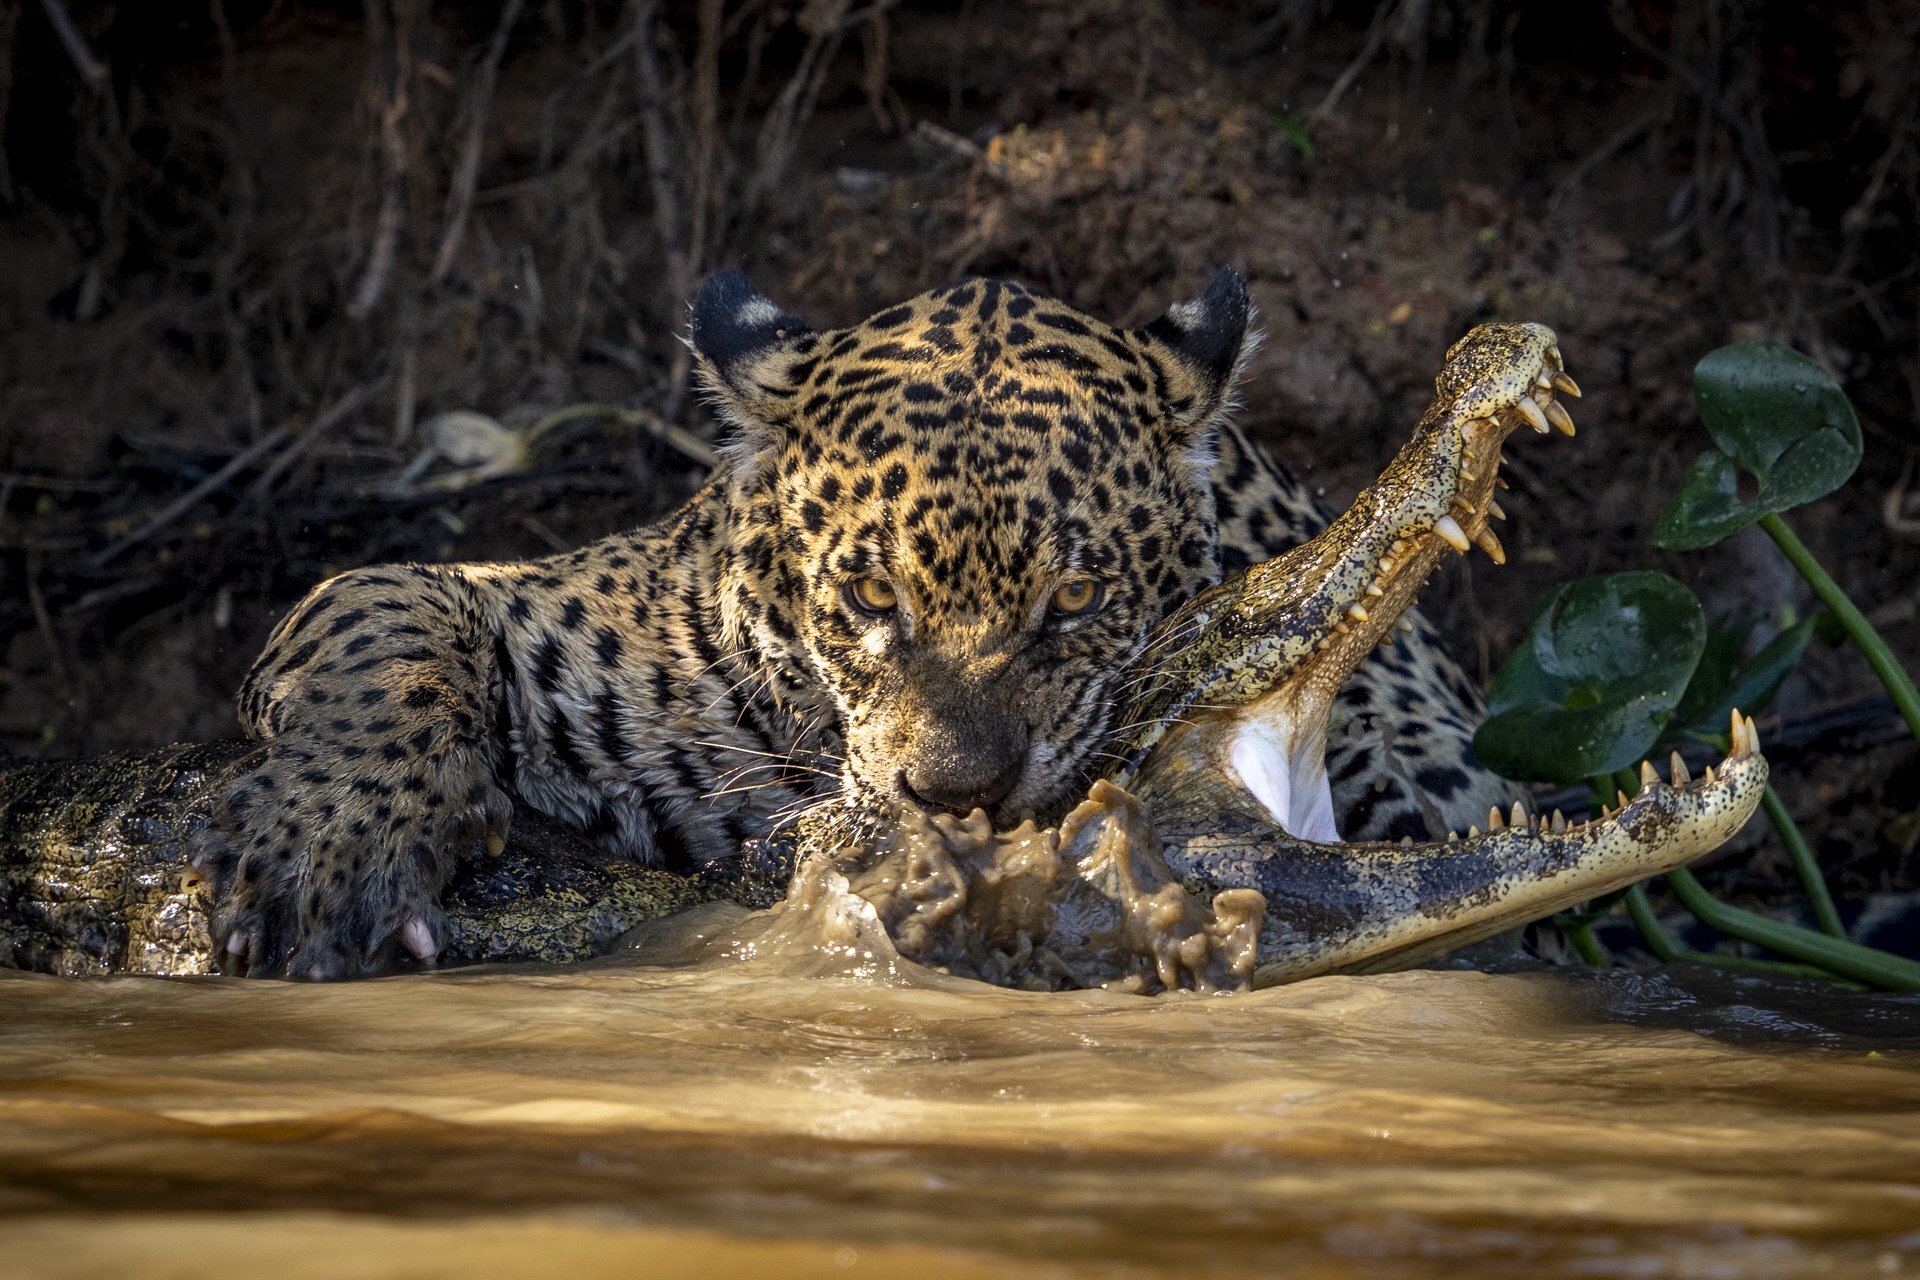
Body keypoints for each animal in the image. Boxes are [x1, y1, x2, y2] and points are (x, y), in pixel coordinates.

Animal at [193, 267, 1515, 979]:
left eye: (1076, 599)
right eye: (874, 597)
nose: (957, 797)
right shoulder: (527, 606)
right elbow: (392, 623)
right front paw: (330, 851)